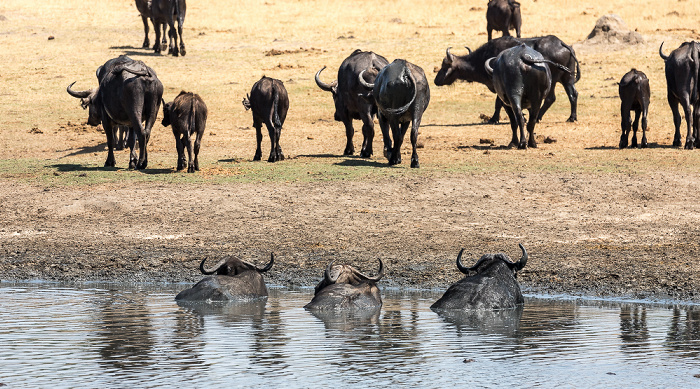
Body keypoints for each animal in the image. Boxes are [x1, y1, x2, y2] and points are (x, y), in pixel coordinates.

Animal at [438, 35, 580, 123]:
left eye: (444, 66)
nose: (436, 80)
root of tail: (562, 43)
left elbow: (498, 103)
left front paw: (493, 119)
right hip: (567, 78)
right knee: (573, 94)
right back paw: (571, 117)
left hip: (554, 80)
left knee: (551, 98)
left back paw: (539, 116)